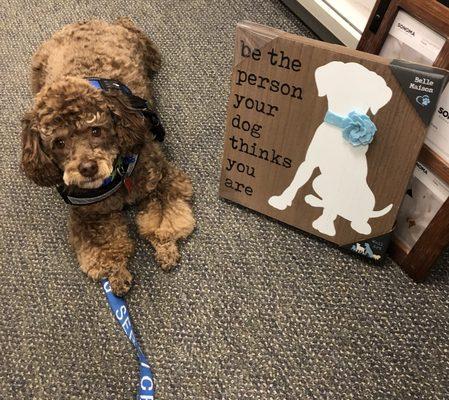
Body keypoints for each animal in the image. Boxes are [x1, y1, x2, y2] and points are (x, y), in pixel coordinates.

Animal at [21, 18, 194, 294]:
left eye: (96, 130)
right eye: (59, 143)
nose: (87, 168)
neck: (118, 176)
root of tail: (84, 21)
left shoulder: (160, 180)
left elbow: (163, 221)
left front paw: (166, 248)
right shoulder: (92, 215)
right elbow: (106, 249)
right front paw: (116, 275)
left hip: (132, 39)